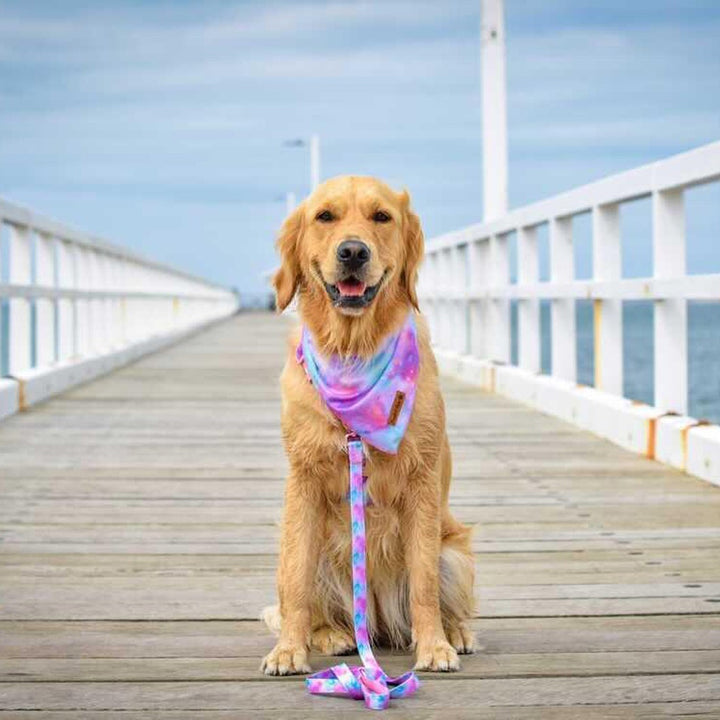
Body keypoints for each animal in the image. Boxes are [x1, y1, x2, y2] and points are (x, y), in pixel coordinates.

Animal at [262, 174, 476, 676]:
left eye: (382, 217)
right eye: (325, 216)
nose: (353, 252)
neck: (353, 351)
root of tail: (375, 620)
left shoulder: (422, 481)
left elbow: (422, 583)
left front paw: (434, 646)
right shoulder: (303, 480)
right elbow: (297, 583)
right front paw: (288, 649)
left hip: (455, 551)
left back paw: (456, 632)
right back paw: (333, 635)